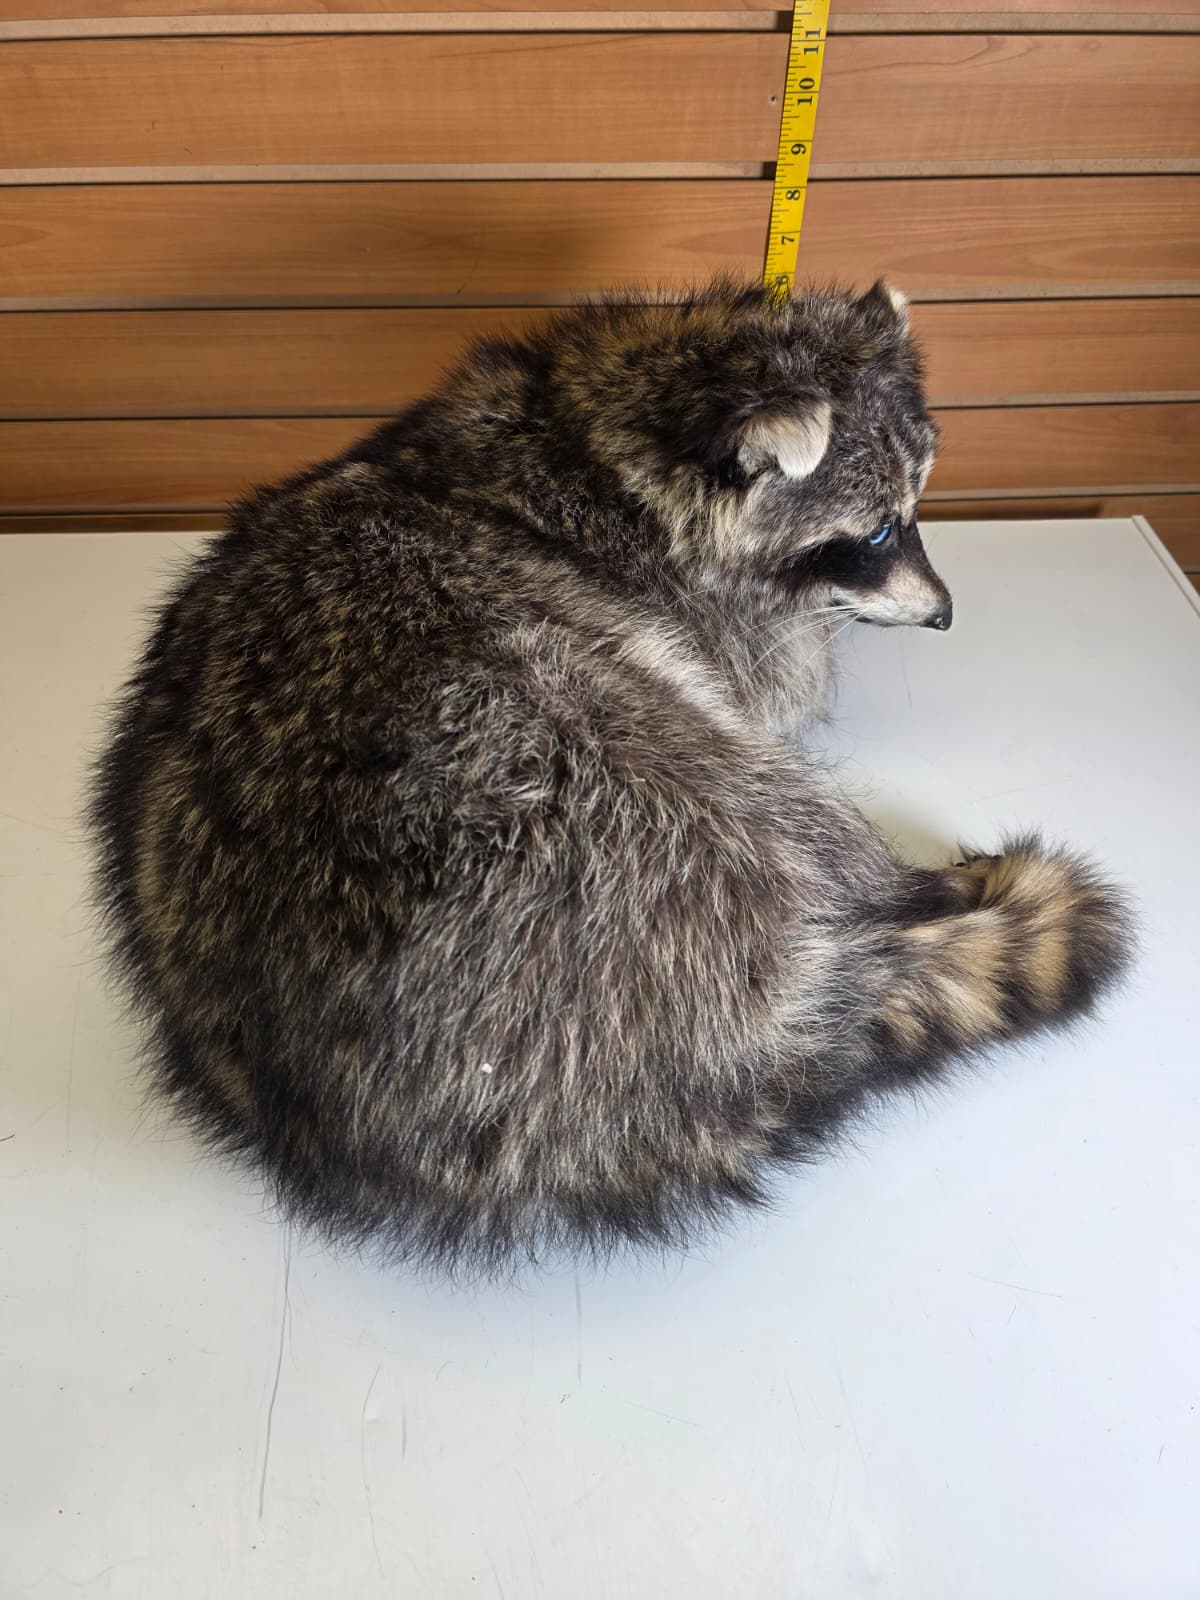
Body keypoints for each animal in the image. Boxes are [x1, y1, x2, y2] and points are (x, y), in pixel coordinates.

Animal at [89, 279, 1132, 1275]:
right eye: (875, 533)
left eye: (912, 511)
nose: (948, 613)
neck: (599, 437)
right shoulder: (697, 623)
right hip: (588, 769)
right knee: (773, 805)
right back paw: (901, 889)